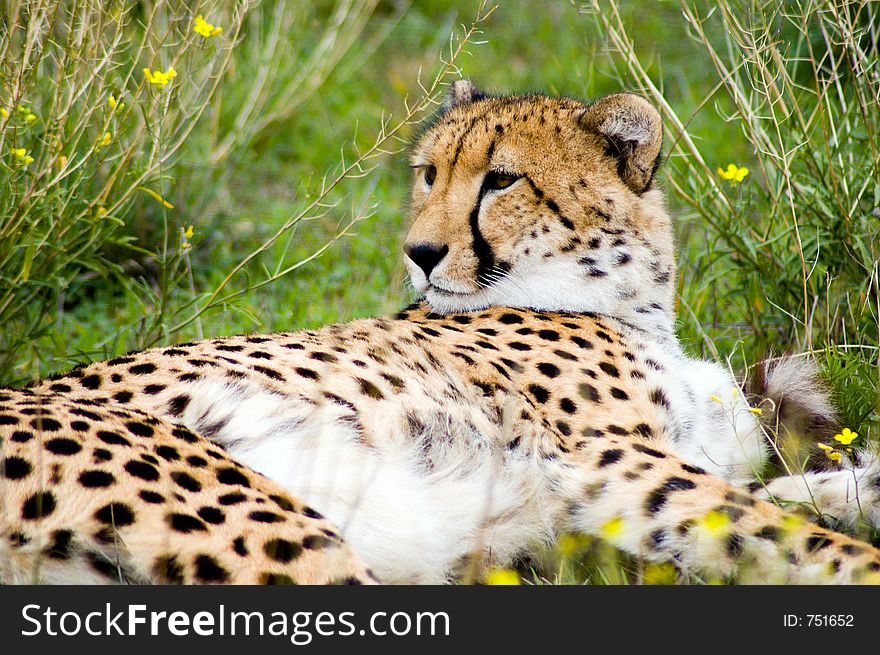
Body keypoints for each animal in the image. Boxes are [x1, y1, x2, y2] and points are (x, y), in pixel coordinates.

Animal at [6, 79, 880, 588]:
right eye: (430, 172)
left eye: (502, 179)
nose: (420, 253)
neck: (628, 302)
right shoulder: (607, 464)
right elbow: (784, 531)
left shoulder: (596, 519)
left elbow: (775, 503)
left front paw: (855, 489)